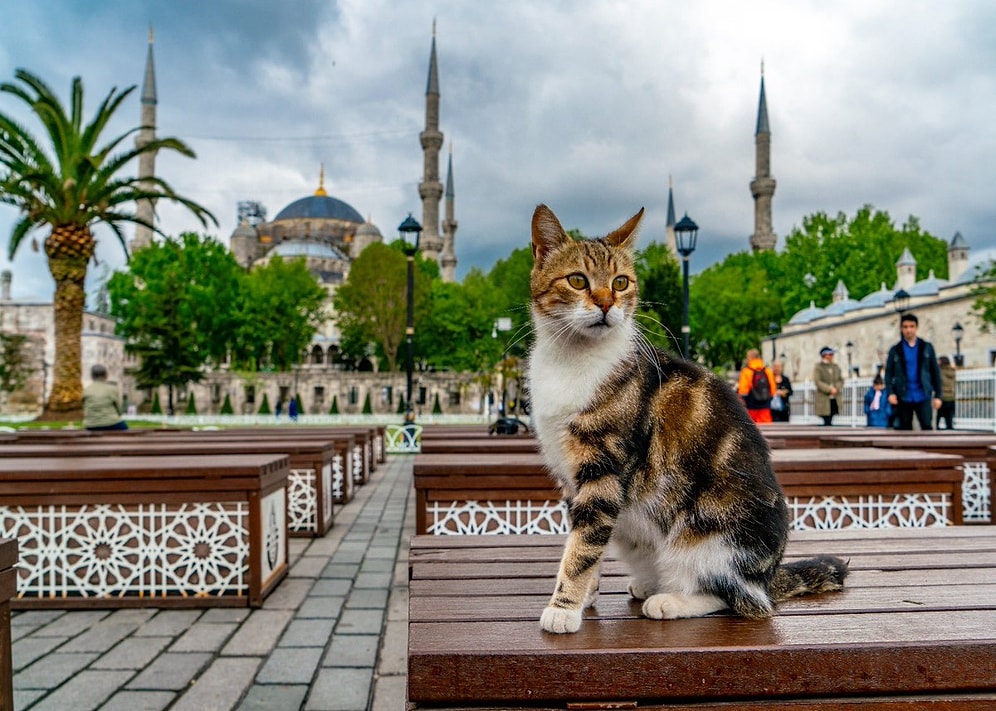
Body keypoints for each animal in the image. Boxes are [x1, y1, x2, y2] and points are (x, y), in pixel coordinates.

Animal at [524, 204, 844, 636]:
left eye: (621, 283)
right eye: (577, 280)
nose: (607, 304)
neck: (573, 359)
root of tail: (768, 576)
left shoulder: (603, 469)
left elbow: (584, 544)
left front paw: (563, 607)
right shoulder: (573, 478)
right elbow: (588, 541)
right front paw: (585, 595)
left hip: (713, 538)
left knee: (739, 600)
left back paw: (671, 600)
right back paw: (649, 583)